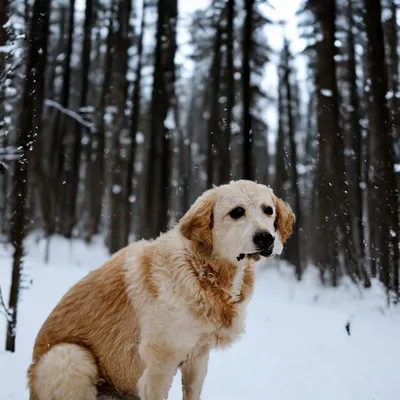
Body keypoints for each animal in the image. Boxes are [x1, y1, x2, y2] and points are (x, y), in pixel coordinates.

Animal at [26, 180, 292, 398]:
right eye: (237, 212)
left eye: (268, 210)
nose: (266, 238)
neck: (199, 270)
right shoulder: (159, 365)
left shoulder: (198, 357)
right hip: (69, 356)